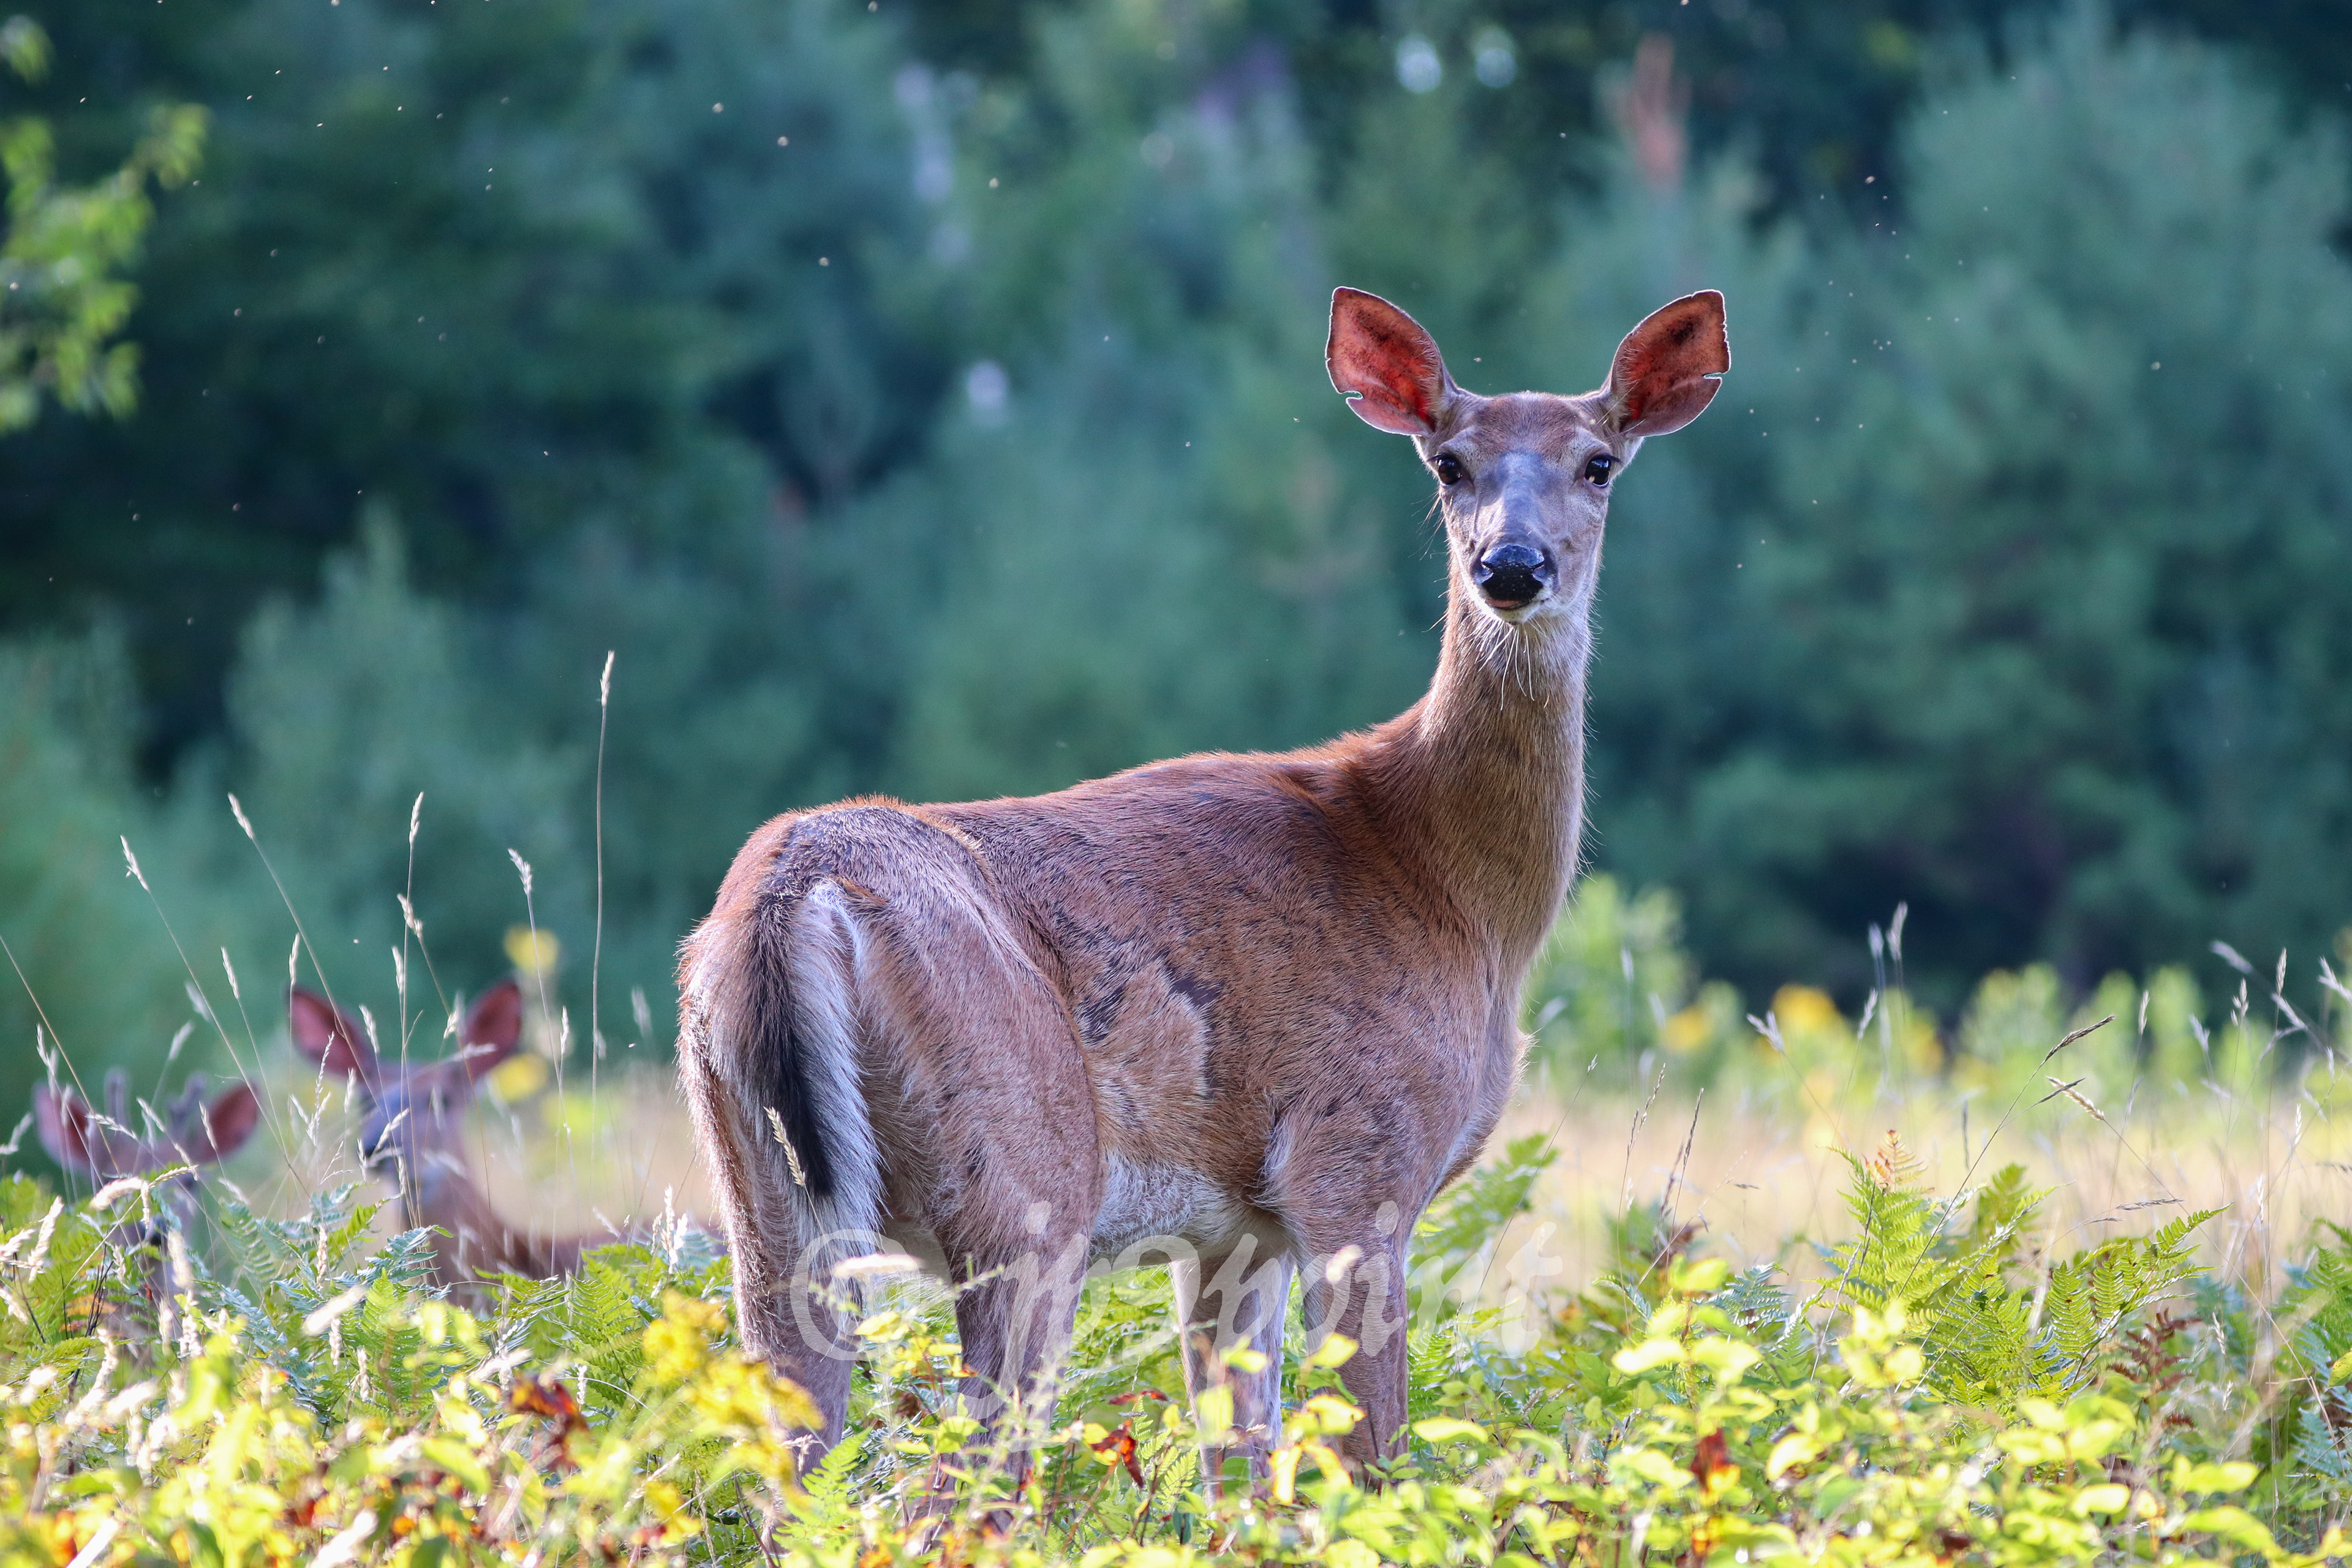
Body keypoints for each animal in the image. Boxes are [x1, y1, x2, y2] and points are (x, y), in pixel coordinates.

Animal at [678, 285, 1729, 1487]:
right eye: (1448, 463)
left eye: (1599, 463)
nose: (1511, 566)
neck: (1455, 892)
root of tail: (790, 897)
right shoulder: (1356, 1160)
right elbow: (1369, 1459)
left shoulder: (1235, 1231)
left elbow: (1242, 1467)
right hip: (1028, 1184)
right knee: (957, 1480)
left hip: (763, 1202)